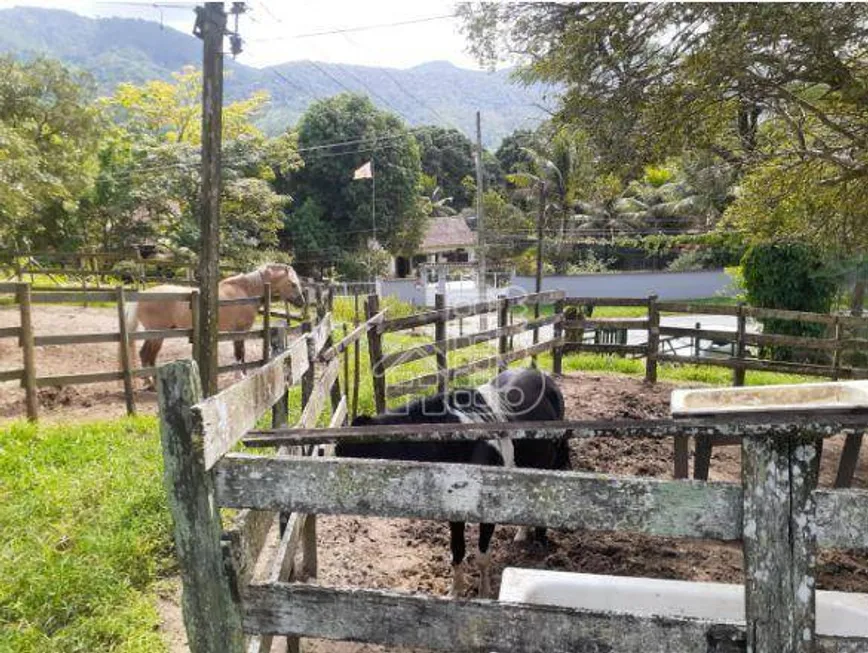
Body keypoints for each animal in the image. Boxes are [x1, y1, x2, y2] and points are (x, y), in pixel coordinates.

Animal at [124, 262, 306, 384]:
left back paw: (149, 382)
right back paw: (151, 382)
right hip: (157, 334)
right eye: (292, 284)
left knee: (145, 355)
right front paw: (240, 376)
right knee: (147, 355)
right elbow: (240, 353)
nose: (302, 302)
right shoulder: (239, 331)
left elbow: (241, 353)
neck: (245, 291)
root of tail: (142, 295)